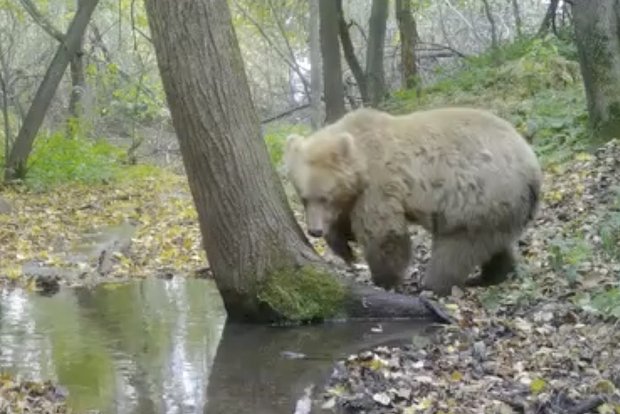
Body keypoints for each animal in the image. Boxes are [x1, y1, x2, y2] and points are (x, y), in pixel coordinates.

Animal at [284, 106, 544, 294]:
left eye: (324, 196)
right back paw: (495, 274)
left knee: (456, 248)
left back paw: (436, 284)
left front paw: (384, 278)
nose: (314, 230)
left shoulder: (379, 183)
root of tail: (532, 166)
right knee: (496, 242)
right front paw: (345, 250)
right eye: (304, 197)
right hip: (500, 205)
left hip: (478, 196)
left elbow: (382, 231)